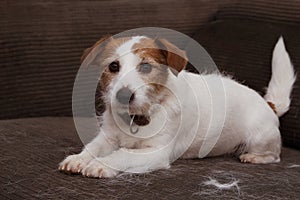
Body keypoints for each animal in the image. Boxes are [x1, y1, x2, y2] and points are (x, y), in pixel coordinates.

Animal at [58, 35, 296, 177]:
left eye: (146, 67)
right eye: (113, 66)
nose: (123, 95)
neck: (138, 118)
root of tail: (268, 103)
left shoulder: (156, 152)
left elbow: (123, 155)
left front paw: (101, 164)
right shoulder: (108, 138)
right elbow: (93, 148)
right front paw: (79, 159)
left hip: (260, 138)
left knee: (274, 156)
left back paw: (253, 157)